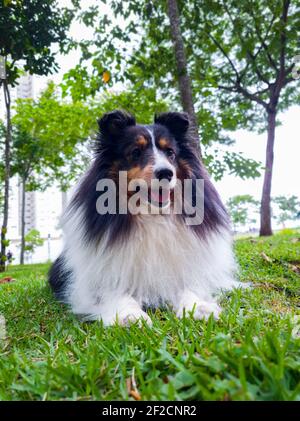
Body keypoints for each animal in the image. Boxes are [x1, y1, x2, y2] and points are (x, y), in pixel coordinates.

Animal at [49, 109, 238, 324]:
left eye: (170, 152)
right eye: (135, 152)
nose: (166, 173)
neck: (152, 214)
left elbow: (188, 285)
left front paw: (198, 307)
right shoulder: (102, 277)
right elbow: (115, 291)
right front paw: (129, 315)